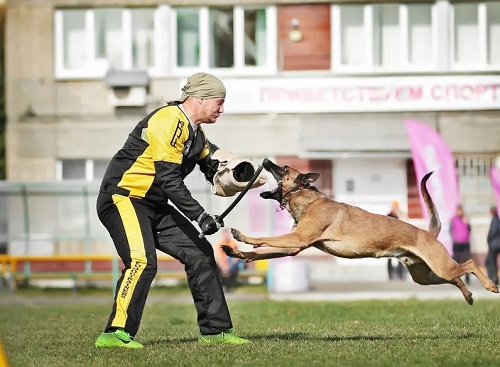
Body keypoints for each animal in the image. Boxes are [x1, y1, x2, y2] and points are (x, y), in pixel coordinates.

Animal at [224, 158, 500, 304]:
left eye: (282, 169)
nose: (265, 161)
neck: (306, 198)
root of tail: (428, 234)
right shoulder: (295, 246)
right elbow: (261, 252)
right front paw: (239, 253)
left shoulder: (298, 239)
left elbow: (264, 239)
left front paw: (243, 238)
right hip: (427, 275)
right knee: (457, 276)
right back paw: (468, 295)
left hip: (440, 267)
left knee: (471, 263)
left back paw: (490, 285)